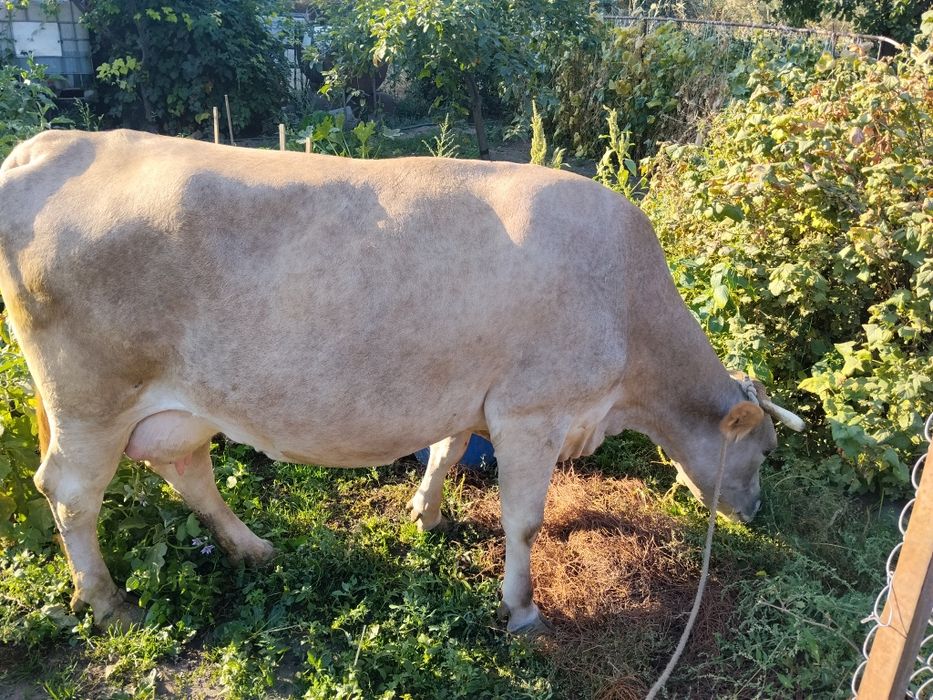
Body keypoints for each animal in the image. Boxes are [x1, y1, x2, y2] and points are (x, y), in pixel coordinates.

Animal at [0, 129, 804, 633]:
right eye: (764, 453)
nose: (757, 511)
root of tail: (53, 144)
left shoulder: (472, 394)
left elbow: (445, 450)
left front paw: (425, 514)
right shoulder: (532, 411)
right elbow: (524, 520)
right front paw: (520, 610)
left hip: (176, 403)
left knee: (186, 466)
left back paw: (252, 548)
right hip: (90, 399)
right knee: (70, 493)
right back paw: (109, 603)